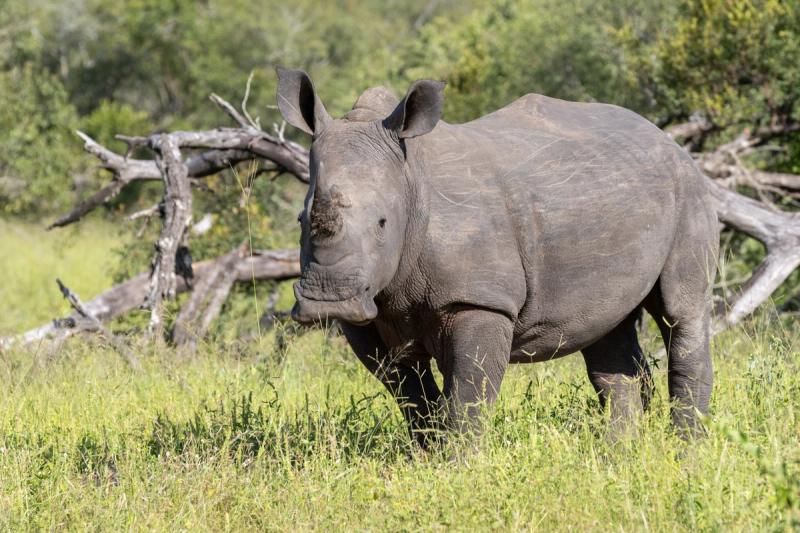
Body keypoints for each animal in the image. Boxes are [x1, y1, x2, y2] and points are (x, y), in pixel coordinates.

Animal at [277, 67, 719, 445]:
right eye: (300, 219)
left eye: (383, 223)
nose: (326, 301)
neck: (411, 181)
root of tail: (667, 139)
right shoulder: (370, 314)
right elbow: (411, 396)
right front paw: (425, 458)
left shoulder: (480, 299)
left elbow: (468, 396)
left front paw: (455, 466)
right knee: (607, 329)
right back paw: (620, 452)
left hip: (689, 190)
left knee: (681, 312)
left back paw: (686, 451)